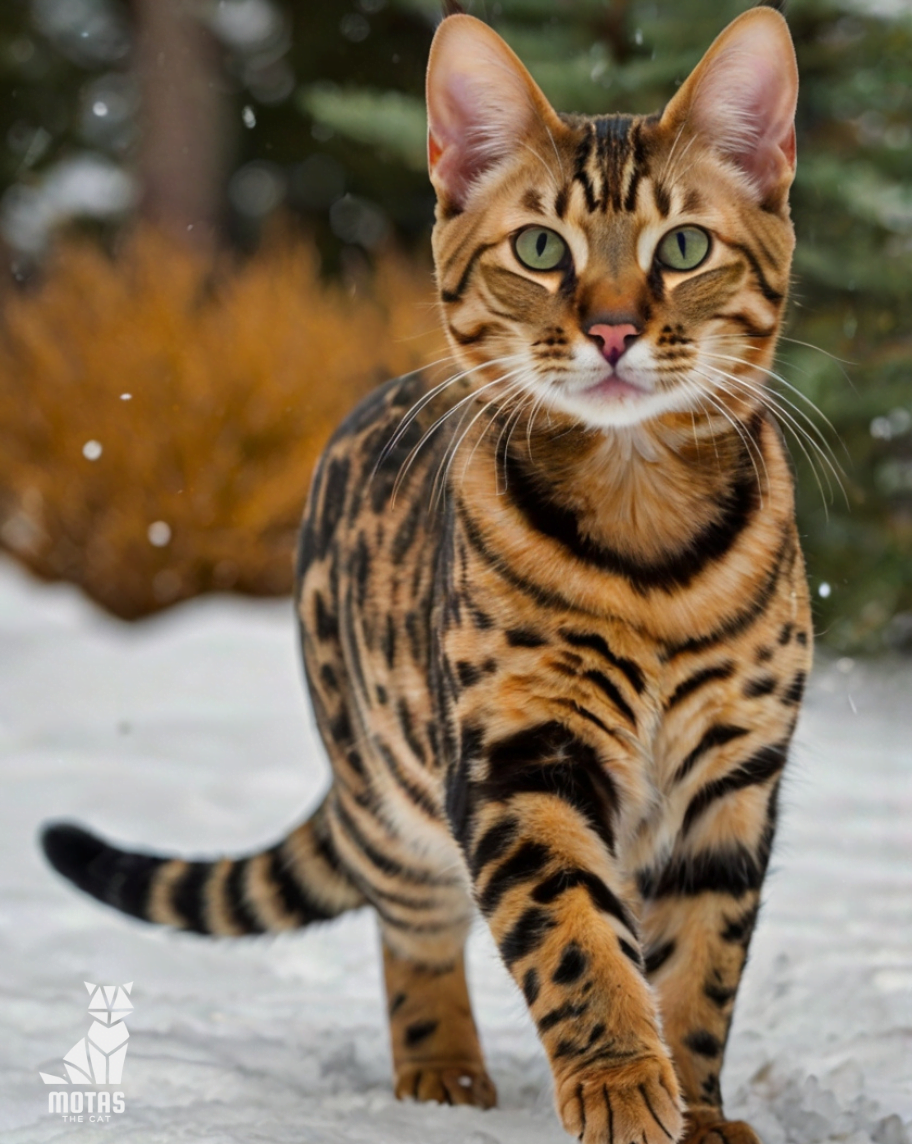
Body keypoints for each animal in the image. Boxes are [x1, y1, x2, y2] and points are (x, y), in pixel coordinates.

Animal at [42, 11, 810, 1144]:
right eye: (540, 248)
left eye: (684, 247)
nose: (613, 329)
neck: (645, 533)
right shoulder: (517, 754)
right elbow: (575, 937)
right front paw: (621, 1083)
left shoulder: (733, 777)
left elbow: (700, 968)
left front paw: (698, 1108)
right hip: (386, 787)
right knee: (409, 928)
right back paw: (441, 1070)